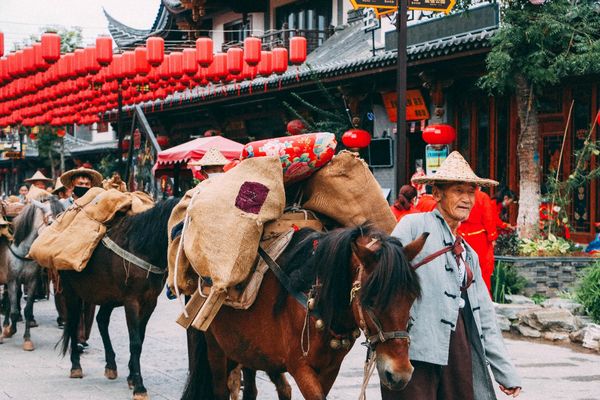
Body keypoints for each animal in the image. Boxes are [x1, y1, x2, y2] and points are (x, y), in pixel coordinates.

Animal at [58, 198, 180, 398]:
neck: (143, 247)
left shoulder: (150, 302)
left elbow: (141, 338)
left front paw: (131, 377)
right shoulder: (131, 301)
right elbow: (135, 342)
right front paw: (139, 386)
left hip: (108, 296)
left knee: (101, 320)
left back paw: (110, 365)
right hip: (70, 291)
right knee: (74, 323)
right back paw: (76, 365)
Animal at [183, 225, 426, 400]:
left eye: (411, 298)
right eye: (372, 301)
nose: (400, 374)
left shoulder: (330, 369)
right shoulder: (300, 368)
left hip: (249, 350)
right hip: (216, 351)